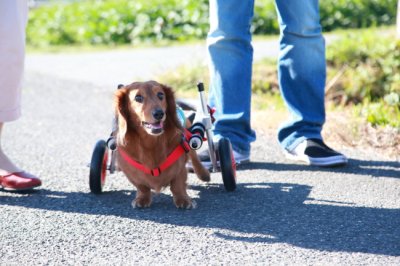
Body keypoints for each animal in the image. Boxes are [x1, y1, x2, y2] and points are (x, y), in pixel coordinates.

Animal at [114, 80, 211, 209]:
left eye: (160, 95)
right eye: (138, 97)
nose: (159, 113)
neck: (150, 143)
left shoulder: (179, 167)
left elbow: (178, 185)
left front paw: (183, 199)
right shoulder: (130, 172)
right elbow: (142, 186)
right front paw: (142, 198)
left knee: (195, 158)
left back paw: (204, 174)